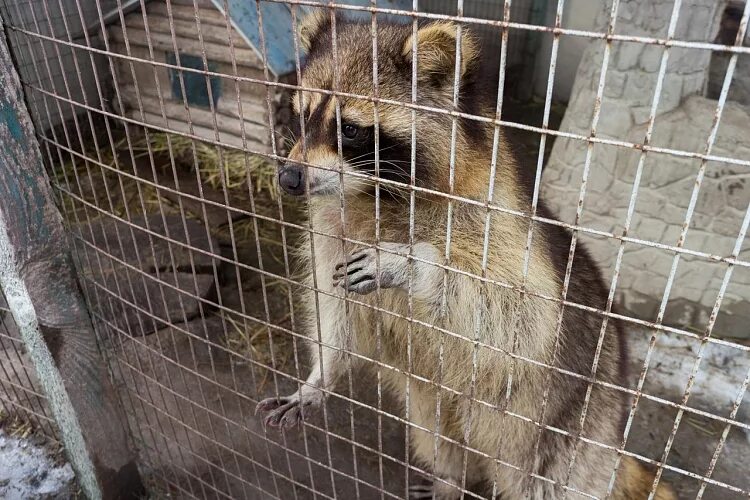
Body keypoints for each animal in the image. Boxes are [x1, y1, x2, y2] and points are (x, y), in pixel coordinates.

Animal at [258, 11, 676, 500]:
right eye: (302, 115)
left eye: (350, 129)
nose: (289, 178)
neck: (374, 195)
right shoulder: (330, 234)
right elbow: (337, 314)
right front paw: (320, 376)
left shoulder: (497, 226)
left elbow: (518, 315)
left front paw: (415, 264)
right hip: (434, 405)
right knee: (440, 436)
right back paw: (449, 478)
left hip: (574, 429)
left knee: (550, 478)